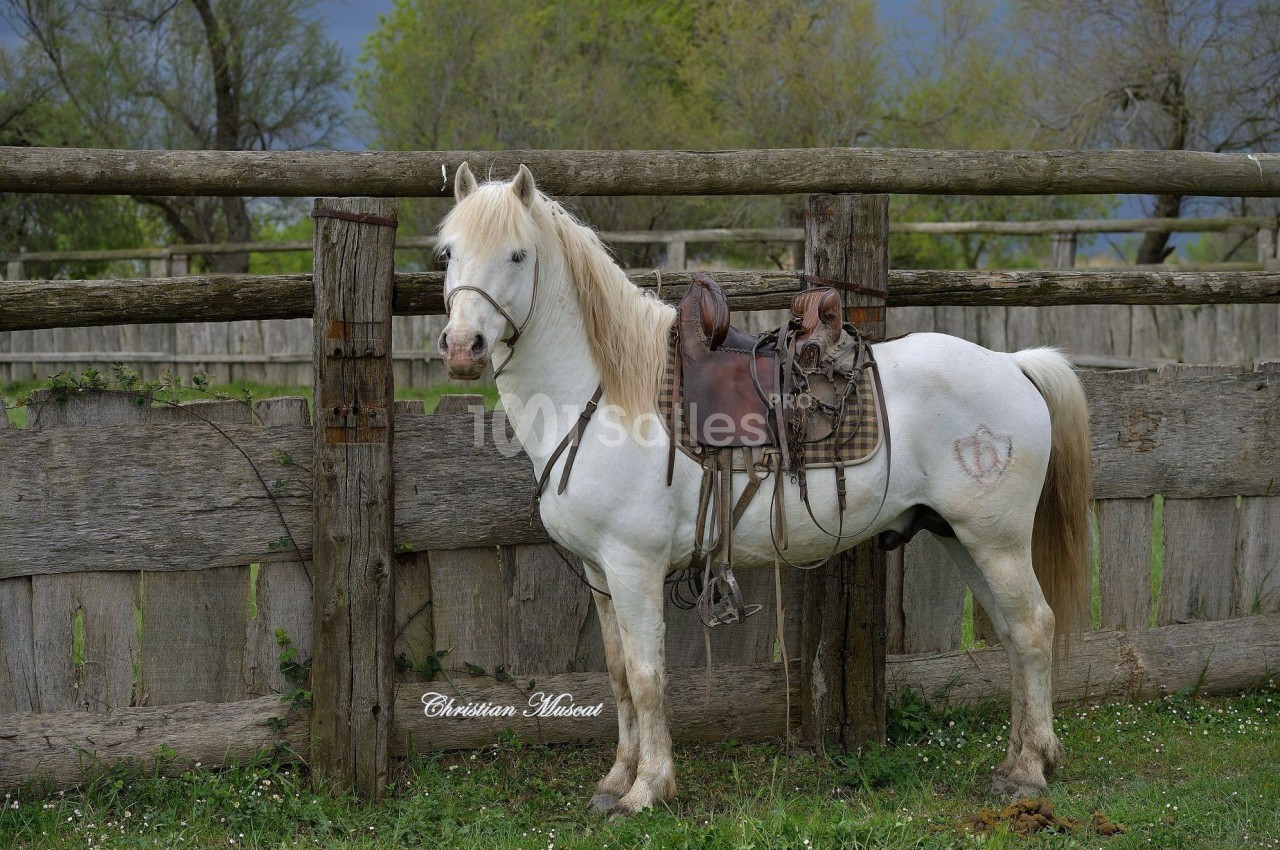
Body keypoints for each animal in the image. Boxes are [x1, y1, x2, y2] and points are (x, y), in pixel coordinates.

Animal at [436, 162, 1092, 816]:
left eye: (518, 254)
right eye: (449, 252)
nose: (463, 346)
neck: (606, 398)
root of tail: (1012, 364)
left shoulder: (634, 566)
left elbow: (648, 678)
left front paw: (648, 789)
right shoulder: (601, 572)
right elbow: (620, 675)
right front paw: (617, 780)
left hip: (997, 541)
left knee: (1034, 629)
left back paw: (1031, 770)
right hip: (960, 536)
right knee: (1010, 635)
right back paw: (1013, 763)